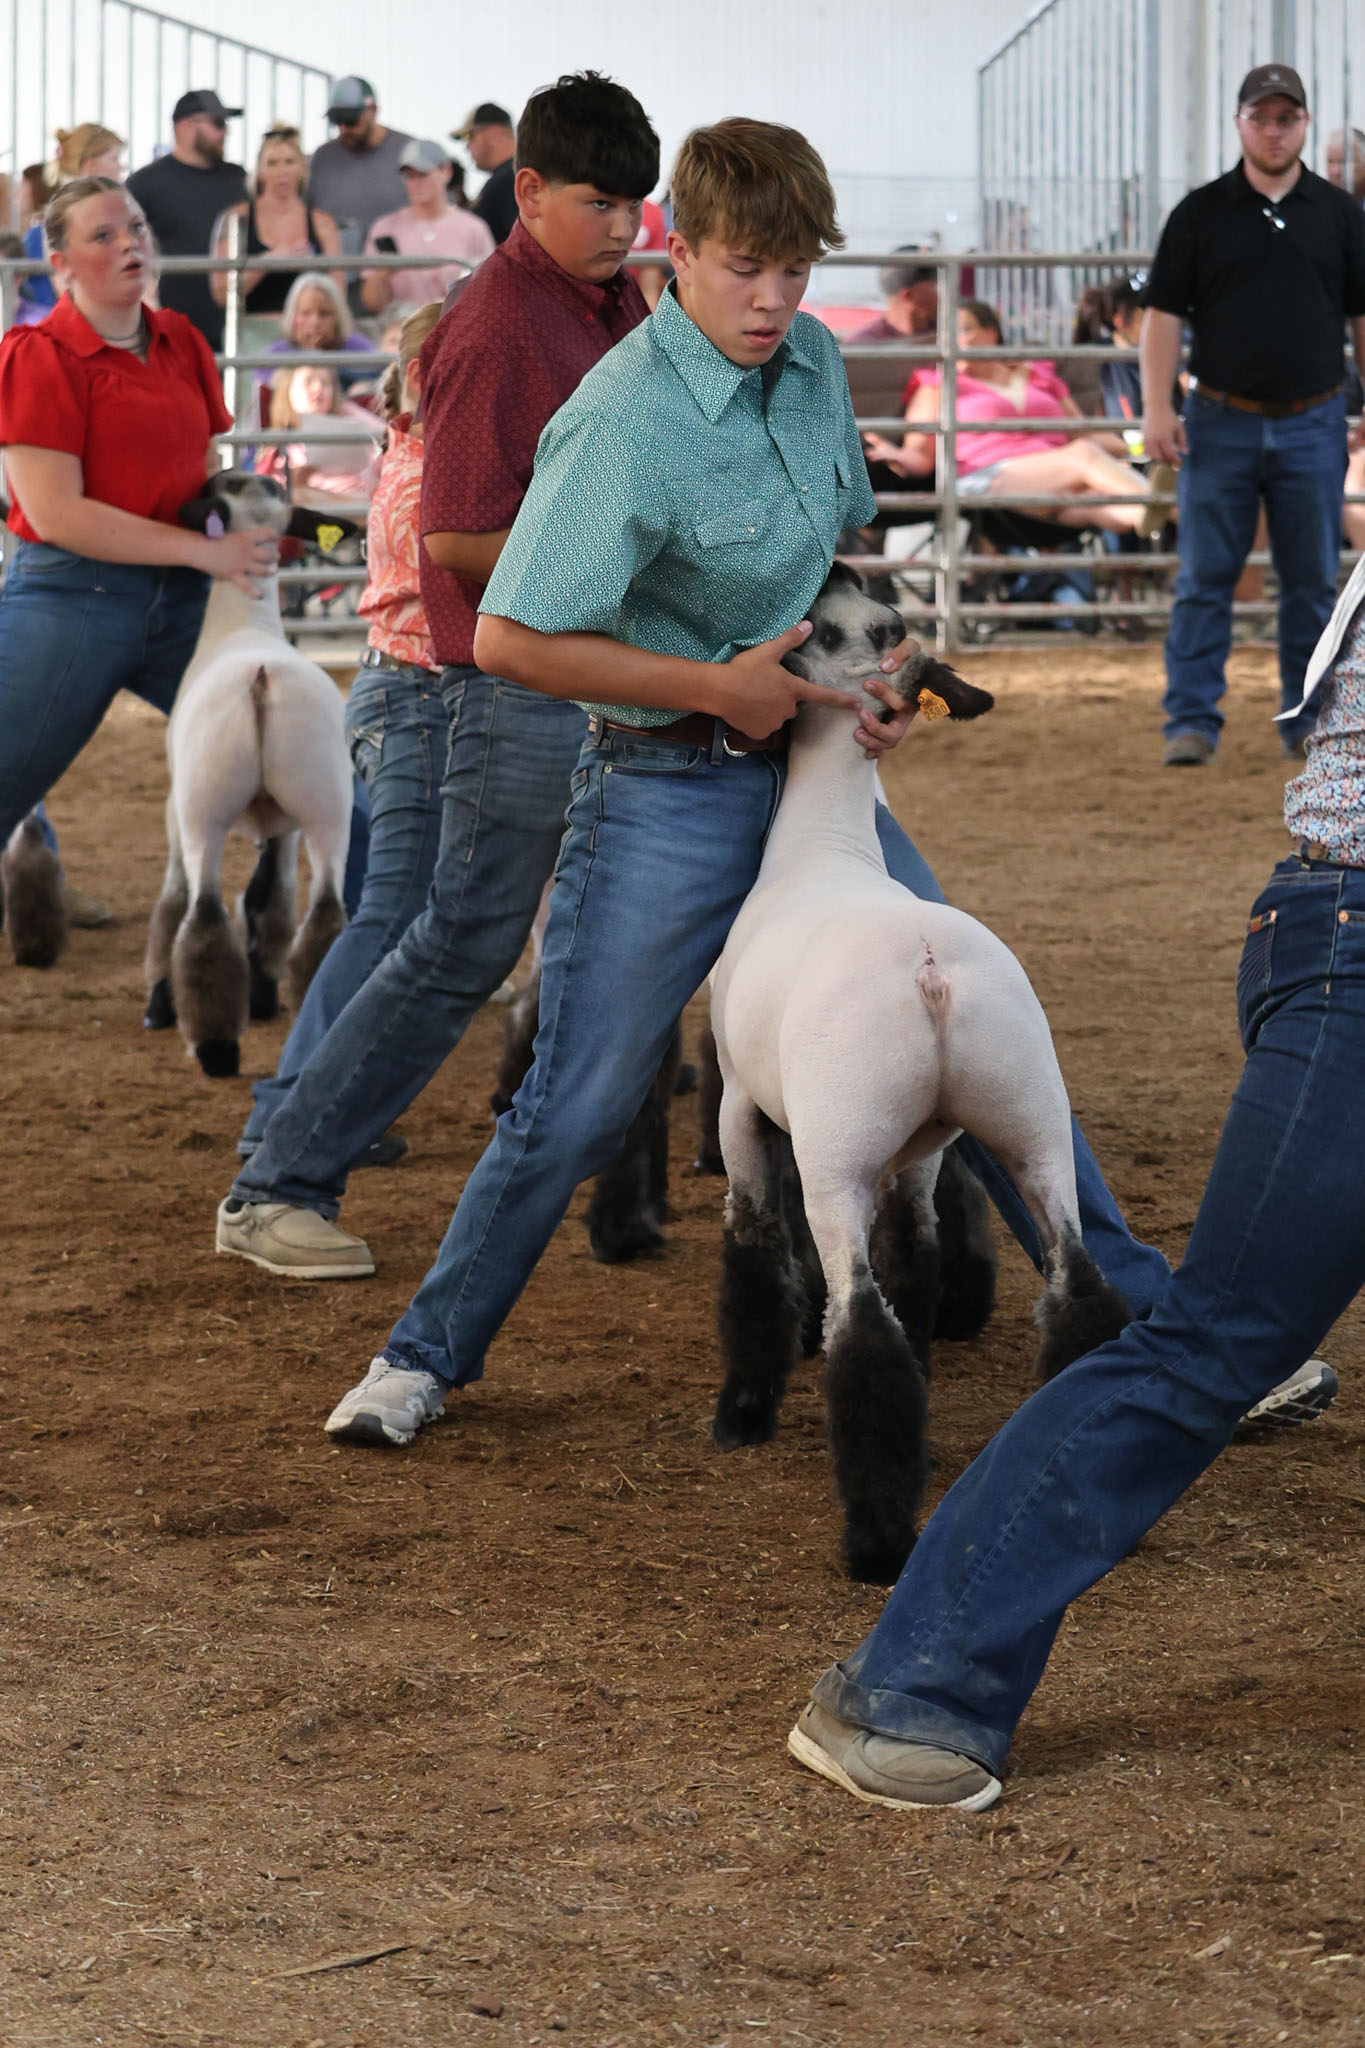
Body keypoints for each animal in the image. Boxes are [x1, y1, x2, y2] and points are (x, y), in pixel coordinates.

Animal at [143, 473, 359, 1078]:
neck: (246, 622)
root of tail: (261, 681)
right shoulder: (284, 825)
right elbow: (271, 901)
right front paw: (263, 996)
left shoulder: (173, 812)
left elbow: (171, 903)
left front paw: (161, 1004)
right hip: (328, 807)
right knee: (325, 917)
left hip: (204, 812)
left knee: (203, 918)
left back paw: (214, 1047)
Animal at [709, 563, 1130, 1583]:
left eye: (823, 629)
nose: (839, 564)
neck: (824, 844)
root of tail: (930, 970)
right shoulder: (923, 1148)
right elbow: (919, 1257)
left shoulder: (741, 1107)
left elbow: (752, 1248)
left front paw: (743, 1409)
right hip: (1030, 1123)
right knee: (1077, 1285)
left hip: (836, 1155)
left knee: (862, 1330)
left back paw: (874, 1543)